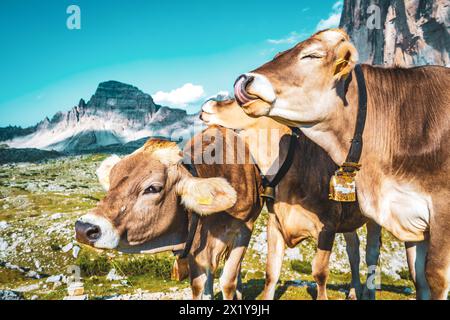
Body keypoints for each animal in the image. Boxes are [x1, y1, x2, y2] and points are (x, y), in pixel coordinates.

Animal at [74, 125, 264, 300]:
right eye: (112, 182)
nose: (83, 228)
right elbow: (199, 285)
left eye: (152, 188)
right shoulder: (195, 244)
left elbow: (227, 281)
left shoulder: (244, 230)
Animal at [200, 97, 380, 300]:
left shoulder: (327, 228)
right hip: (348, 218)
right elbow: (271, 272)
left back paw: (369, 293)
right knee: (354, 249)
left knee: (372, 254)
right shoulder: (274, 223)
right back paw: (354, 291)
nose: (207, 103)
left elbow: (319, 272)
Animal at [232, 28, 450, 300]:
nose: (244, 81)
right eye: (278, 54)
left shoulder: (441, 211)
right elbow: (418, 277)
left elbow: (434, 277)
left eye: (312, 55)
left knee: (371, 253)